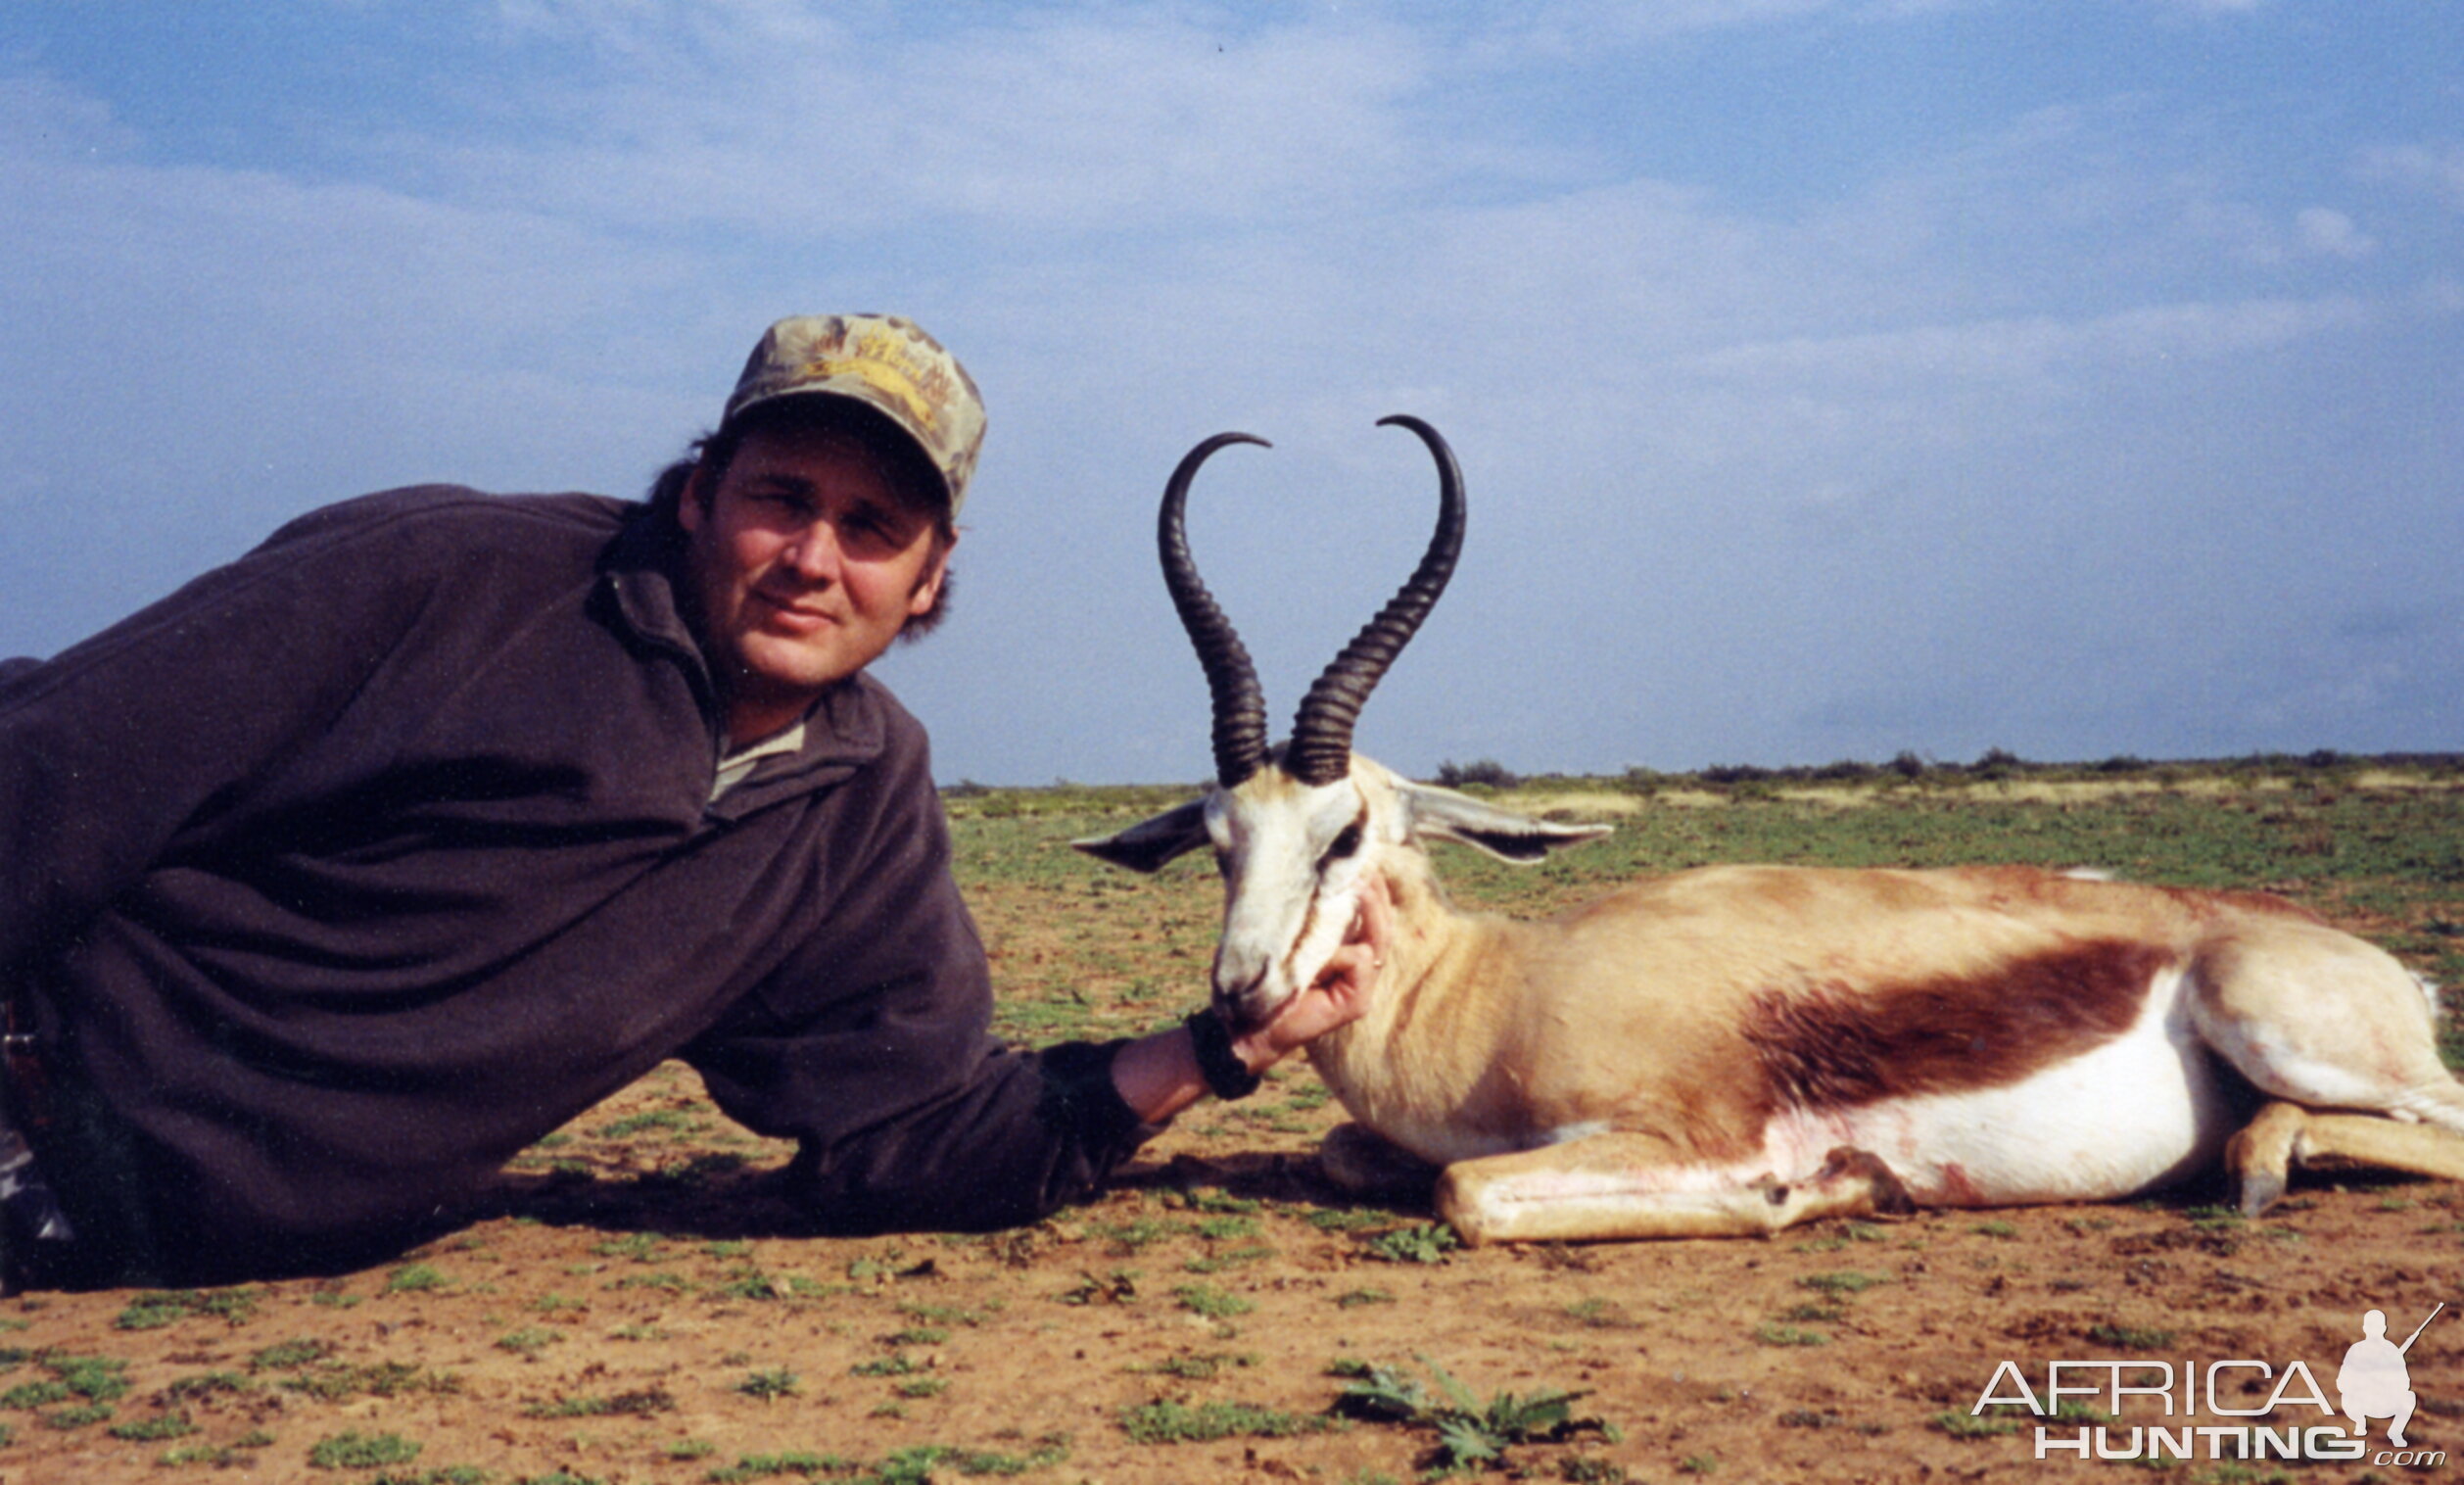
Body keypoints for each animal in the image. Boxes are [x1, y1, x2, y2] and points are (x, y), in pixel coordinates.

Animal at [1089, 415, 2464, 1241]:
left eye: (1344, 833)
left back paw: (2261, 1162)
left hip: (2283, 1027)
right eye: (1216, 839)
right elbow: (1346, 1151)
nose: (1240, 992)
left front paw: (1822, 1190)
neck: (1498, 992)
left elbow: (1463, 1189)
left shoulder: (1687, 1136)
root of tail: (2376, 964)